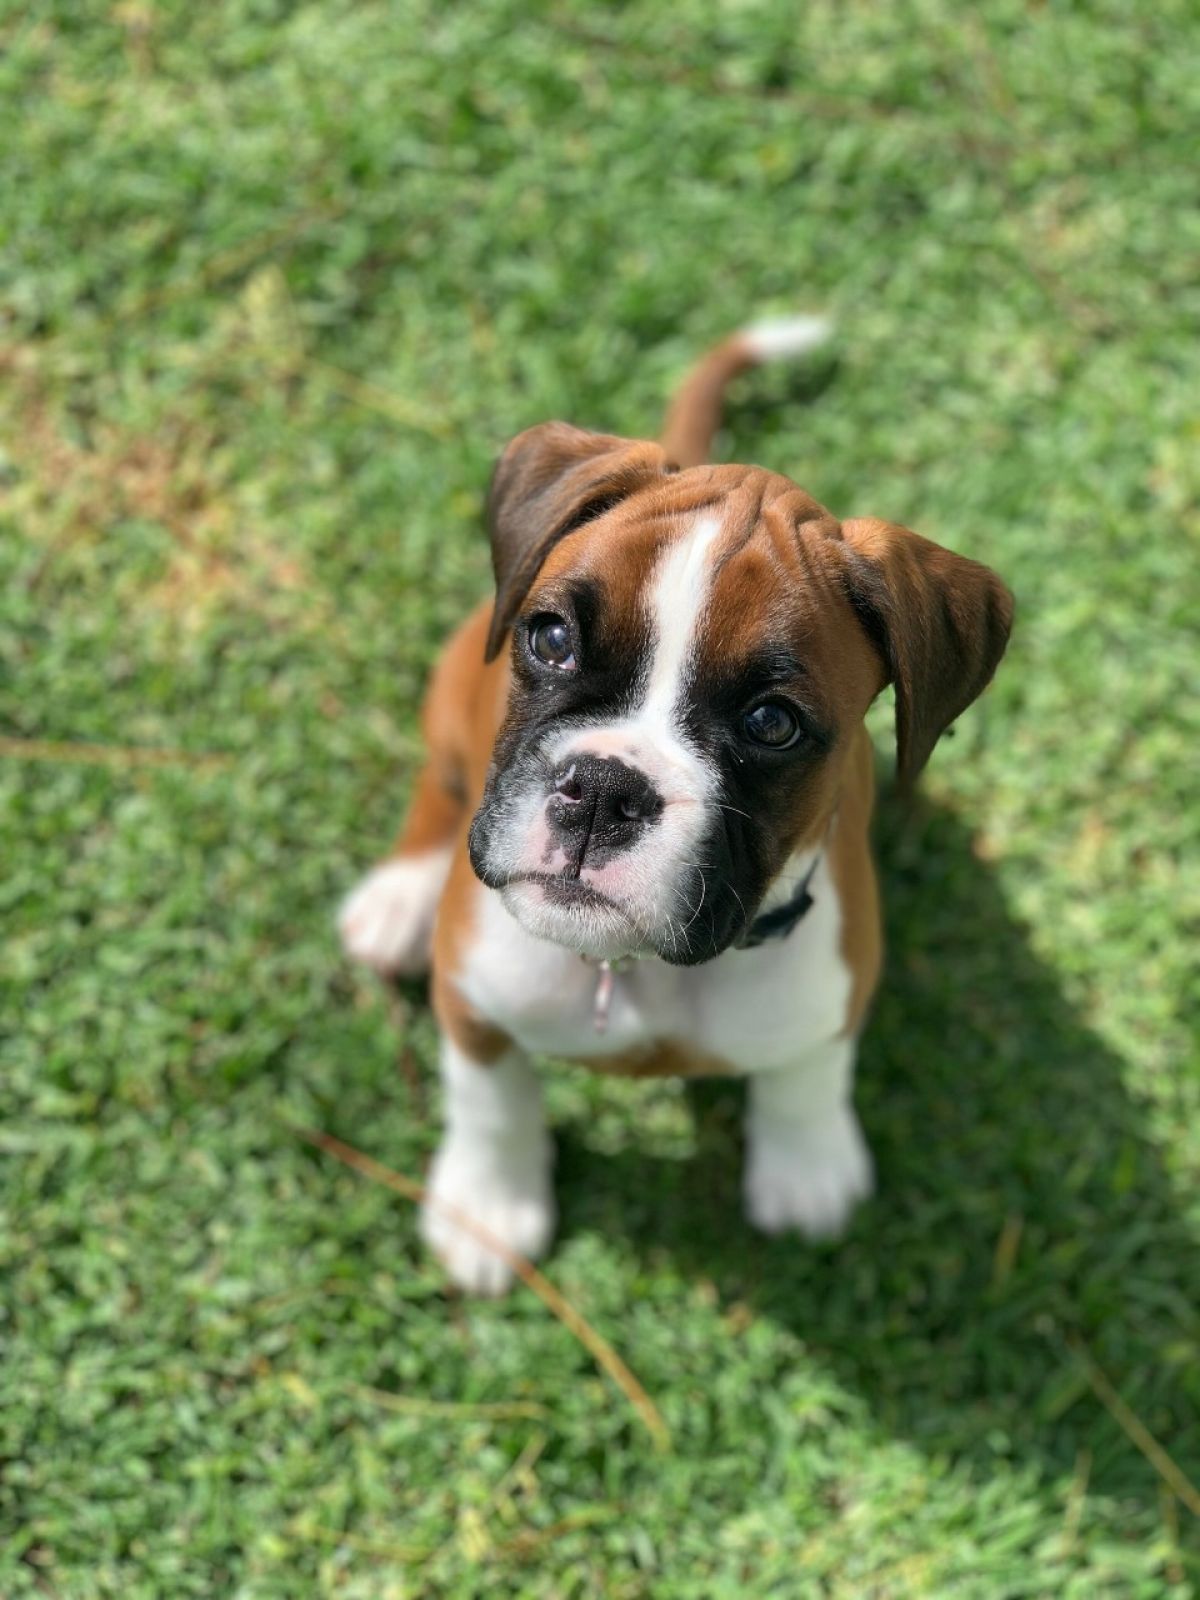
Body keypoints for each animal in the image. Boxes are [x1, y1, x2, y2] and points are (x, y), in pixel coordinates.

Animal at [339, 318, 1017, 1292]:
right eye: (551, 638)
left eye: (772, 723)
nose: (606, 791)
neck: (636, 972)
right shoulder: (470, 1001)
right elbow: (492, 1099)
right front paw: (486, 1207)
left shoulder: (835, 986)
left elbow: (808, 1075)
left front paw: (807, 1169)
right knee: (441, 781)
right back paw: (398, 899)